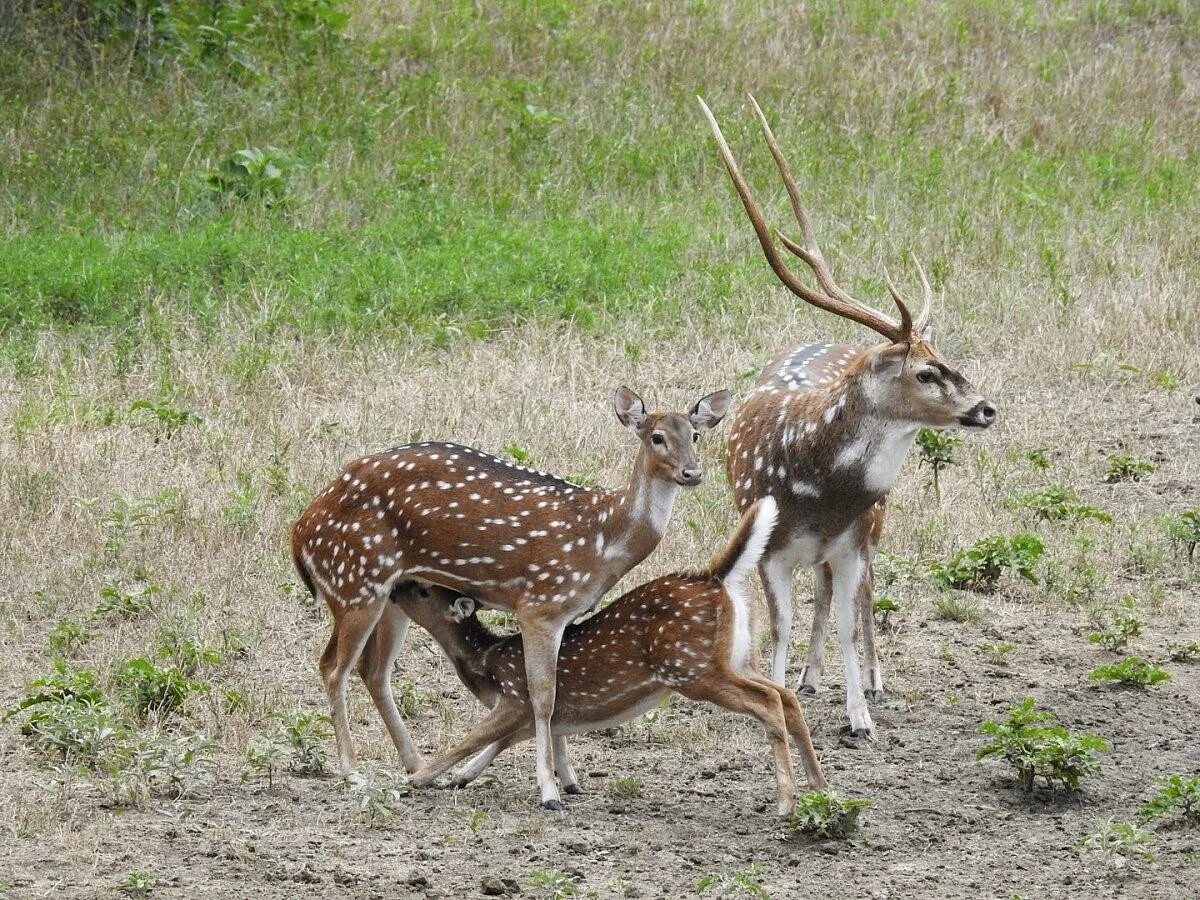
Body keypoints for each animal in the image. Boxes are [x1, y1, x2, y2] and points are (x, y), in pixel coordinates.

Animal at [290, 386, 729, 811]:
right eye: (656, 437)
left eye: (695, 435)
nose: (692, 472)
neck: (604, 540)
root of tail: (300, 532)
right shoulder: (541, 603)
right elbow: (543, 696)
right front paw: (549, 791)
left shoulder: (568, 614)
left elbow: (556, 687)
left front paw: (570, 780)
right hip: (355, 583)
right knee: (333, 667)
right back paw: (352, 771)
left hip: (389, 594)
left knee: (373, 670)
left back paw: (415, 764)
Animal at [391, 496, 825, 820]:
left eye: (425, 591)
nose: (397, 586)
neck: (485, 663)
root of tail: (717, 578)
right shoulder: (540, 711)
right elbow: (515, 739)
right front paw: (463, 778)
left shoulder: (515, 696)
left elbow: (474, 737)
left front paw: (420, 778)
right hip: (738, 658)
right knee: (787, 695)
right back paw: (819, 787)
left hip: (691, 667)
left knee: (768, 701)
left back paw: (786, 803)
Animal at [700, 95, 998, 734]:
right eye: (925, 372)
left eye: (946, 356)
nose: (986, 407)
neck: (818, 490)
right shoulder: (771, 542)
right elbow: (781, 624)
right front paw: (782, 696)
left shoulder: (853, 536)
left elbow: (844, 621)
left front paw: (860, 715)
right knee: (821, 591)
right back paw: (809, 680)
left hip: (875, 526)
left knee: (860, 596)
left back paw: (875, 682)